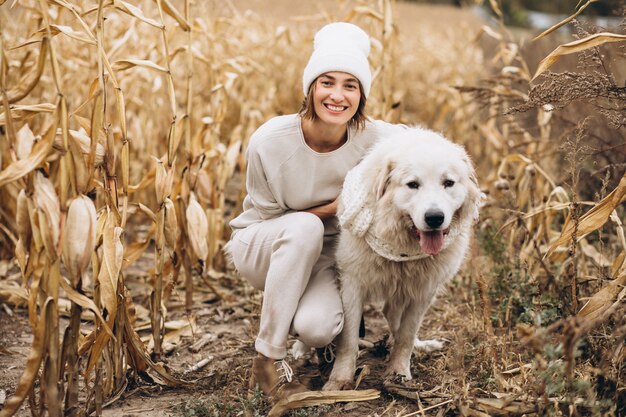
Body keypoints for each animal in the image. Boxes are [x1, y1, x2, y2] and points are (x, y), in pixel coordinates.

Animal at [322, 127, 478, 390]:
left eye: (448, 183)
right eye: (413, 184)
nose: (434, 218)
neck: (402, 249)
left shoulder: (423, 290)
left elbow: (406, 334)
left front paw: (398, 373)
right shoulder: (352, 284)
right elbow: (348, 339)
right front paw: (340, 380)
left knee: (394, 318)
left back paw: (420, 346)